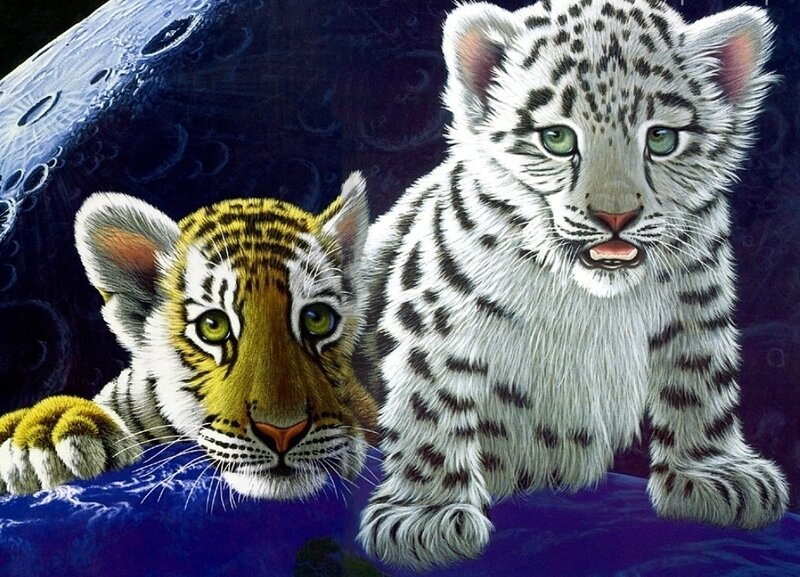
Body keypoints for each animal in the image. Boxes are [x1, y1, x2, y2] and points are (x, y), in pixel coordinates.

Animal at [356, 0, 788, 569]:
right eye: (556, 138)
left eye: (662, 138)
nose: (615, 216)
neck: (590, 301)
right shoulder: (437, 315)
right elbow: (431, 407)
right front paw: (425, 517)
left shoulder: (698, 302)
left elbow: (700, 383)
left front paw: (716, 473)